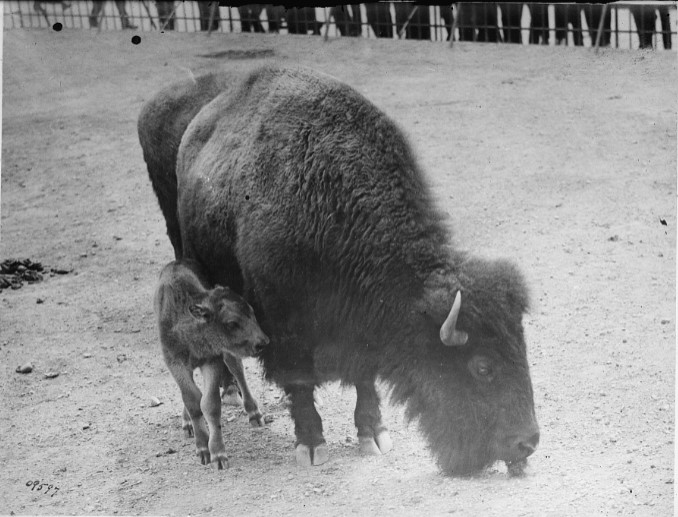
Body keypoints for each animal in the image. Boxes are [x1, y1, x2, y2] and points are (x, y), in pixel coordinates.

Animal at [155, 258, 270, 468]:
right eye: (231, 323)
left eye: (252, 312)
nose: (262, 342)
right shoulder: (175, 363)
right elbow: (192, 400)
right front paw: (202, 448)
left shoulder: (212, 360)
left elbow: (210, 404)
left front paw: (217, 454)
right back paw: (186, 423)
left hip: (229, 354)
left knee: (236, 369)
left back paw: (254, 415)